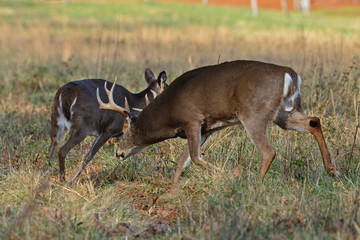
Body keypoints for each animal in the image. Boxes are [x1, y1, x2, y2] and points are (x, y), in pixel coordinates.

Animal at [97, 60, 338, 182]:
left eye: (124, 131)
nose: (118, 153)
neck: (169, 111)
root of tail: (289, 74)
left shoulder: (192, 119)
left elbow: (195, 158)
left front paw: (228, 174)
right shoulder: (205, 129)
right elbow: (182, 161)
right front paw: (172, 190)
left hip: (253, 112)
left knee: (268, 151)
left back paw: (254, 184)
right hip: (283, 112)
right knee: (313, 121)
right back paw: (332, 169)